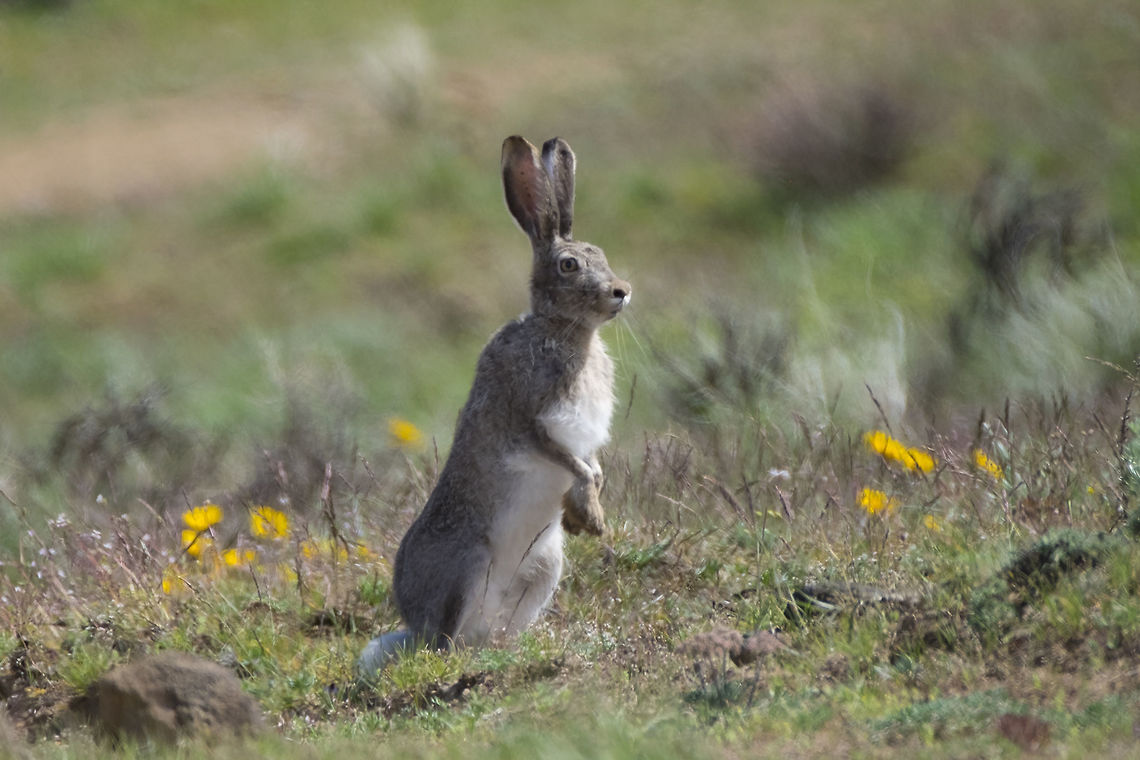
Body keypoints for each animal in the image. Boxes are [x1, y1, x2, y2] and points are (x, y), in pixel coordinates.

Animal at [357, 135, 631, 678]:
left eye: (602, 254)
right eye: (569, 265)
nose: (621, 292)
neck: (566, 332)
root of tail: (415, 625)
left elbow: (591, 466)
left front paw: (585, 513)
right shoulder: (528, 420)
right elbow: (571, 462)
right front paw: (591, 514)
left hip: (545, 569)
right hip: (467, 566)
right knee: (443, 643)